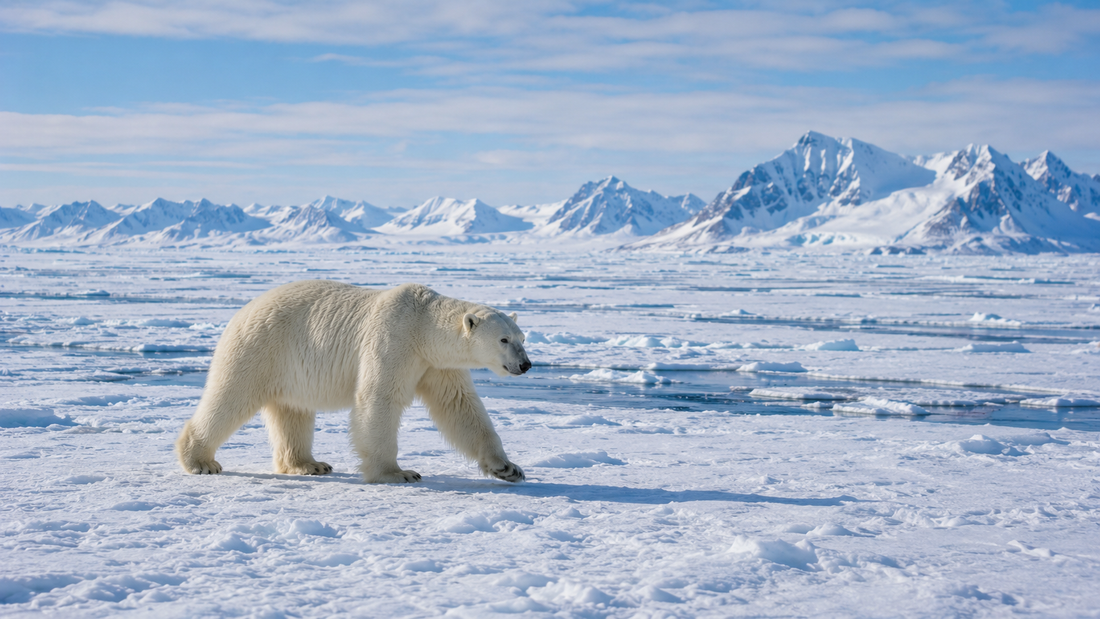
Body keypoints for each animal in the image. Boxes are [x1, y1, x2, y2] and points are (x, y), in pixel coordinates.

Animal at [175, 280, 531, 483]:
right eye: (503, 339)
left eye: (522, 337)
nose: (526, 364)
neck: (422, 325)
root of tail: (242, 310)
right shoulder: (393, 340)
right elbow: (379, 399)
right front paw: (398, 473)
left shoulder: (435, 365)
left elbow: (460, 407)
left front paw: (508, 468)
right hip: (261, 347)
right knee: (231, 396)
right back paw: (201, 462)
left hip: (287, 368)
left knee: (292, 410)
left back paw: (310, 464)